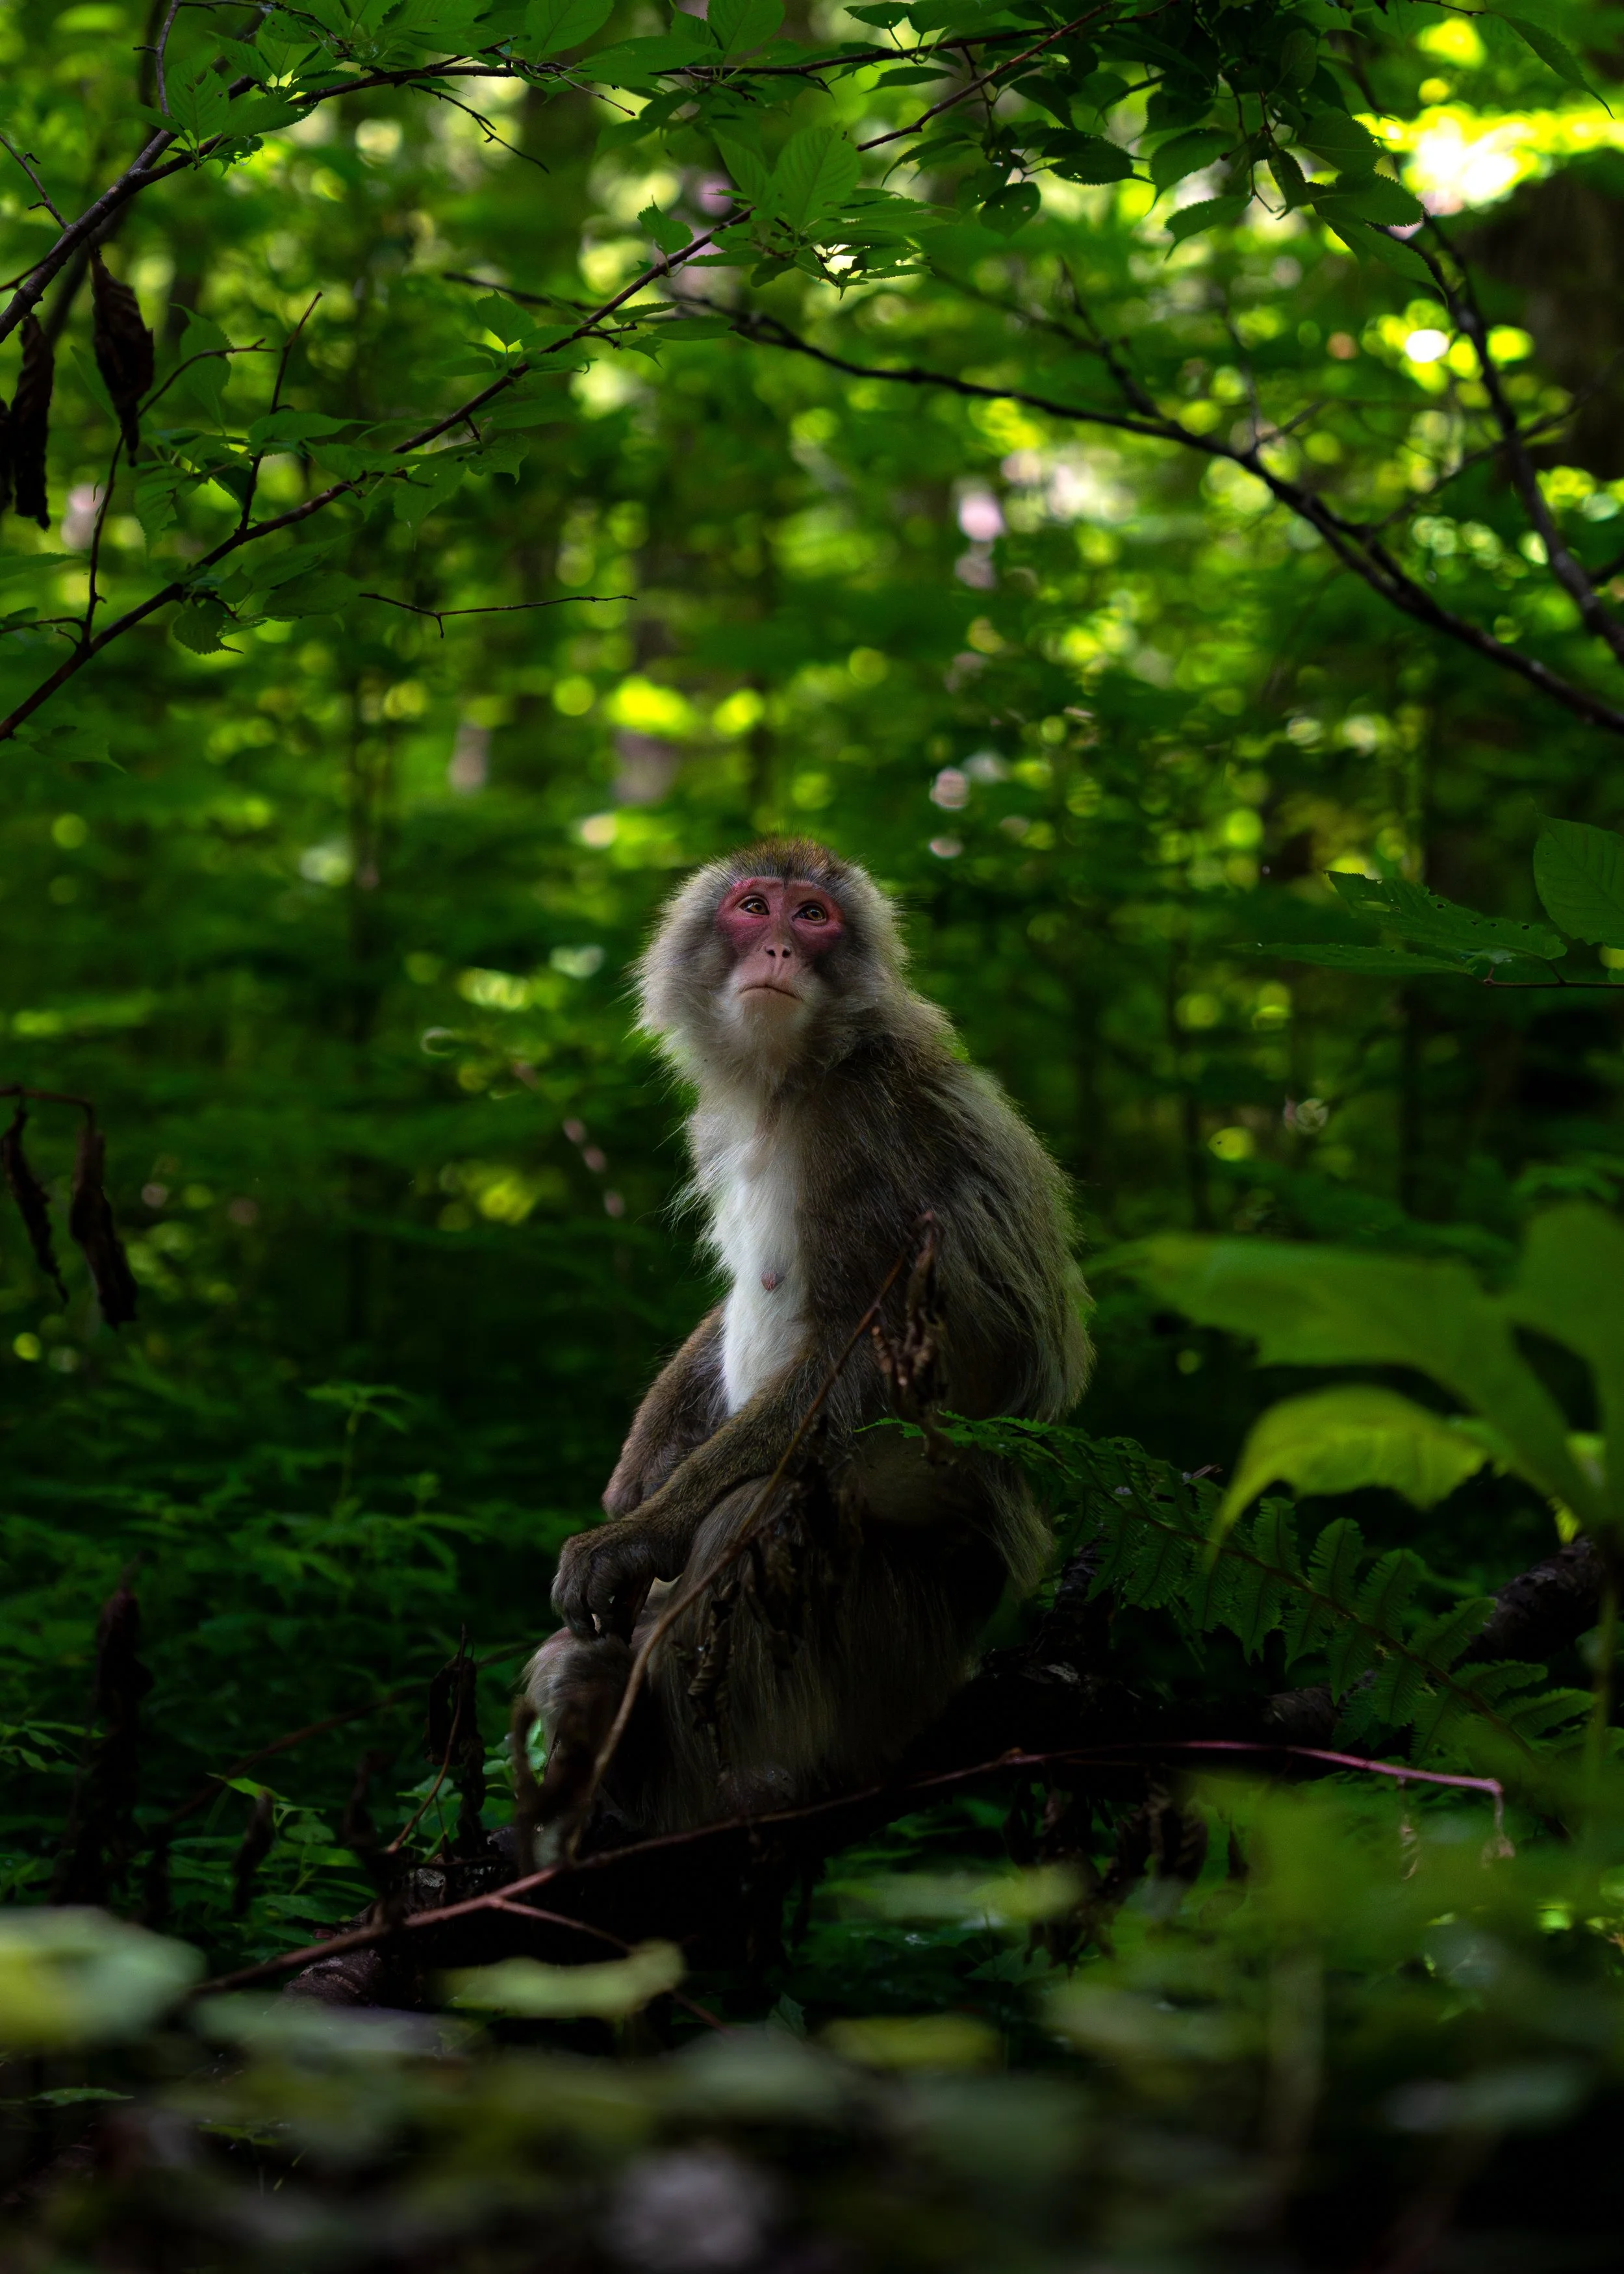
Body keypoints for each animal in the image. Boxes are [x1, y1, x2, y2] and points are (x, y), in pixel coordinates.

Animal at [525, 840, 1090, 1840]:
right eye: (755, 907)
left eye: (815, 917)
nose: (781, 948)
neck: (788, 1086)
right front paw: (636, 1473)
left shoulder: (875, 1131)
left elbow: (867, 1364)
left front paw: (638, 1529)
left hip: (900, 1651)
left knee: (761, 1505)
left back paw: (730, 1783)